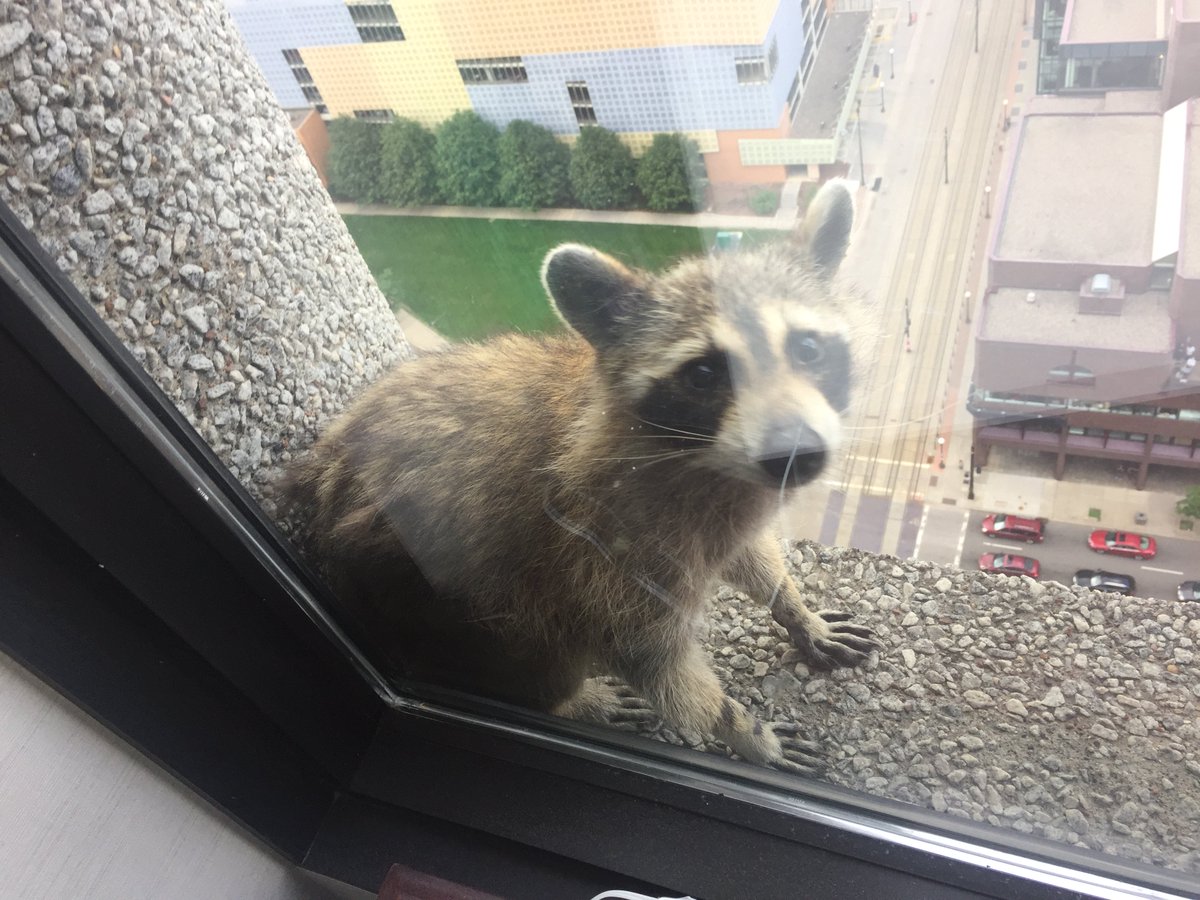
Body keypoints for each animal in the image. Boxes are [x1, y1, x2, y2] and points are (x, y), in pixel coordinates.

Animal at [287, 178, 878, 773]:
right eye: (705, 374)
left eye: (807, 347)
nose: (797, 455)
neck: (702, 459)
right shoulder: (604, 545)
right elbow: (652, 662)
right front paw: (743, 729)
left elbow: (749, 555)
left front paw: (792, 605)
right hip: (438, 609)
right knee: (533, 643)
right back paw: (569, 700)